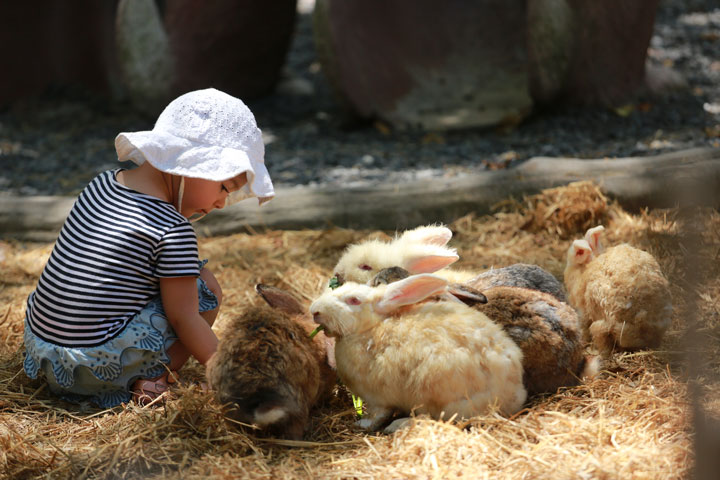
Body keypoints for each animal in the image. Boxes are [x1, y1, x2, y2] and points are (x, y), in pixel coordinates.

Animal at [306, 274, 524, 432]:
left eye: (353, 300)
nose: (315, 310)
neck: (368, 329)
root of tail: (515, 395)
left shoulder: (377, 398)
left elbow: (378, 415)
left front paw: (362, 424)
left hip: (437, 395)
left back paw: (396, 426)